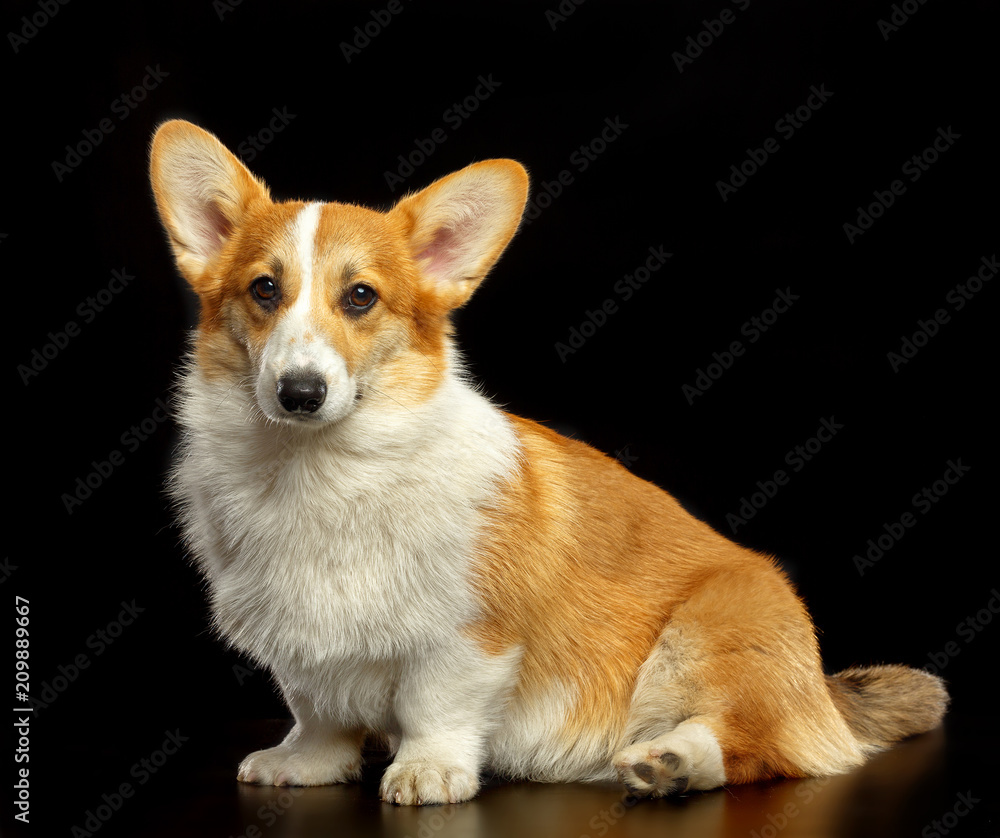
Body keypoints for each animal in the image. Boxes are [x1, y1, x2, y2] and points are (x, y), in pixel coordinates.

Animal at [148, 120, 944, 808]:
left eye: (361, 297)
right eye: (264, 289)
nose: (301, 392)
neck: (322, 472)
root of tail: (822, 685)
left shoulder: (470, 635)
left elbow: (433, 703)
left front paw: (428, 769)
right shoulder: (301, 651)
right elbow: (318, 711)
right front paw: (309, 761)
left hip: (707, 639)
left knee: (758, 749)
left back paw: (672, 762)